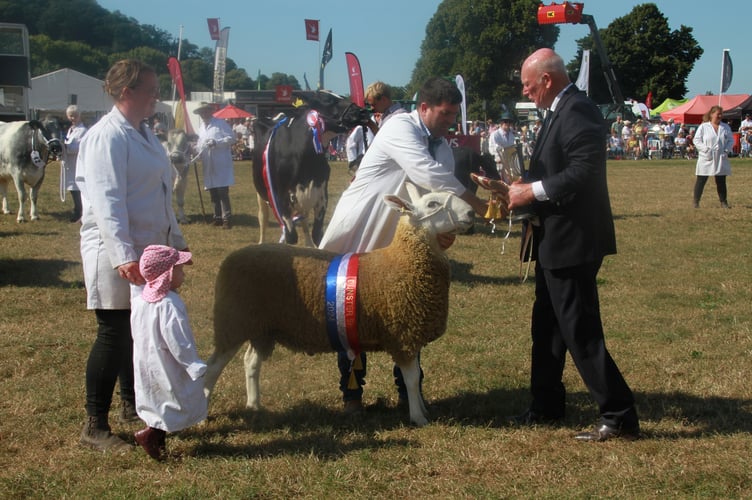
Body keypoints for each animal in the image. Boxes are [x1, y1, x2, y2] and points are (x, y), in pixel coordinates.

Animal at [204, 184, 476, 426]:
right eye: (432, 204)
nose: (472, 213)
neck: (404, 260)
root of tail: (231, 258)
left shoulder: (411, 334)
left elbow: (416, 377)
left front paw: (422, 409)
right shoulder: (402, 336)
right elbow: (410, 380)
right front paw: (418, 418)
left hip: (262, 328)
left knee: (250, 361)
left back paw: (254, 405)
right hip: (233, 322)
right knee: (212, 368)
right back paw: (204, 411)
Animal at [253, 91, 370, 247]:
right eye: (327, 100)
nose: (362, 111)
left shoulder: (321, 193)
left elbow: (317, 234)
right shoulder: (281, 197)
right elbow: (291, 236)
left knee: (303, 221)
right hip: (261, 194)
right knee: (263, 219)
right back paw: (261, 242)